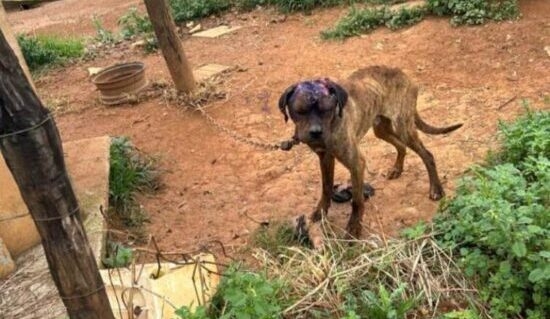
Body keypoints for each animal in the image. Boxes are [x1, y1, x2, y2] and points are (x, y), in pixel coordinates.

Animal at [278, 65, 464, 240]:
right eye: (300, 110)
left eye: (327, 110)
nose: (316, 132)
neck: (333, 122)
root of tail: (404, 75)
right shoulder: (325, 157)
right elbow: (326, 187)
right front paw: (320, 212)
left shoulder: (356, 163)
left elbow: (357, 201)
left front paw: (354, 228)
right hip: (380, 128)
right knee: (401, 146)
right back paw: (397, 169)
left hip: (403, 127)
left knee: (427, 154)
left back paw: (436, 189)